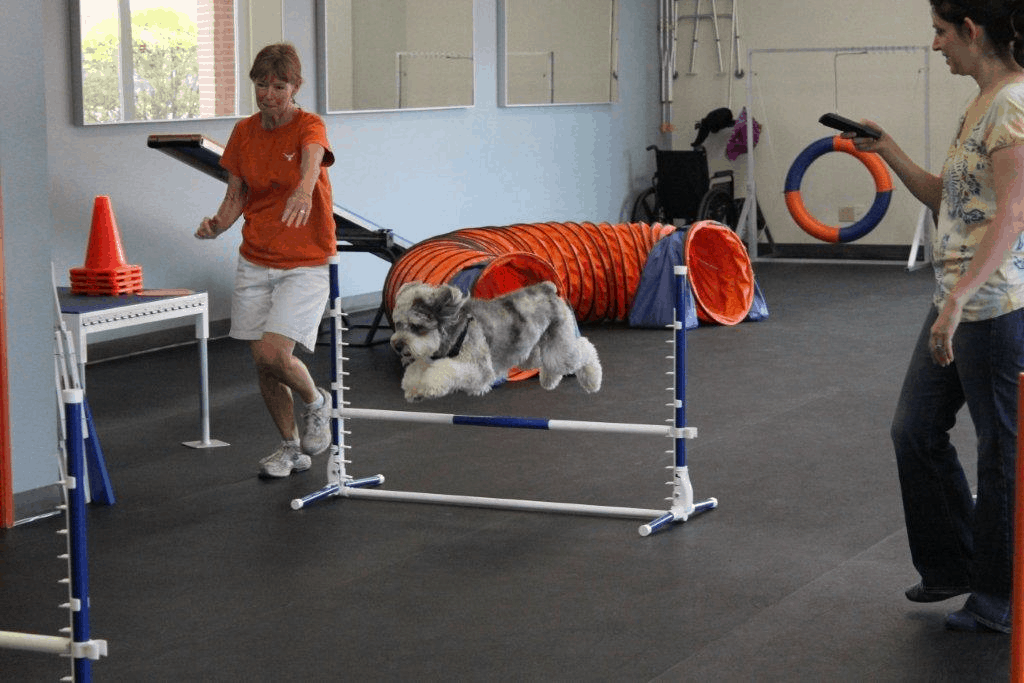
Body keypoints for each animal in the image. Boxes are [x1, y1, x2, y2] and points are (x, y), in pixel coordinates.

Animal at [389, 282, 598, 403]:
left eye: (416, 326)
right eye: (398, 324)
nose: (397, 346)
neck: (454, 331)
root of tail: (546, 289)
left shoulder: (478, 368)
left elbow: (445, 370)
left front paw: (428, 385)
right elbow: (418, 370)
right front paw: (415, 389)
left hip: (561, 351)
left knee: (585, 347)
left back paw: (592, 381)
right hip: (528, 354)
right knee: (544, 360)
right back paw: (549, 380)